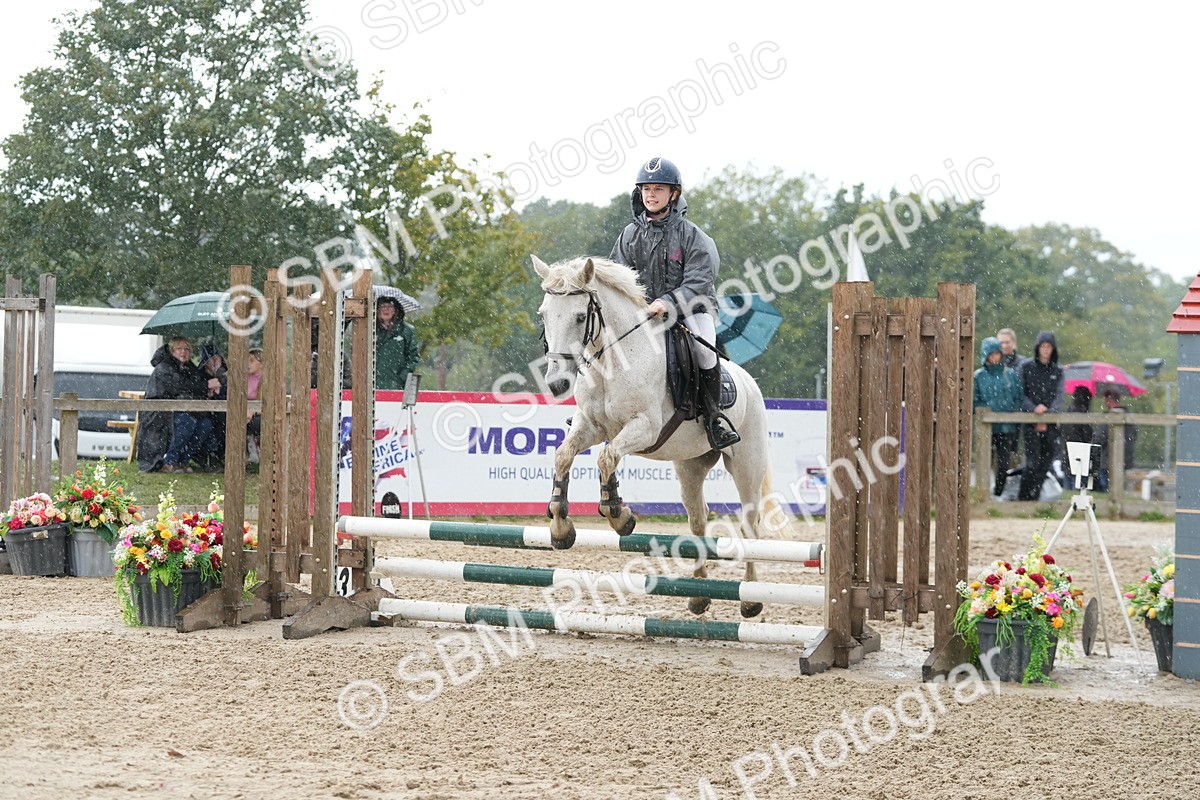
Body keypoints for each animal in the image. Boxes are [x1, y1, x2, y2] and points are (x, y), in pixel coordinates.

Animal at [533, 254, 779, 619]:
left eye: (579, 316)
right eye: (544, 314)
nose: (557, 383)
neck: (613, 359)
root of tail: (750, 383)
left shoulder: (644, 428)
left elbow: (607, 457)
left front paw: (619, 516)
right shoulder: (590, 427)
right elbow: (565, 455)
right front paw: (561, 527)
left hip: (747, 467)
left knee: (750, 524)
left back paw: (750, 599)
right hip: (690, 467)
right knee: (698, 520)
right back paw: (699, 596)